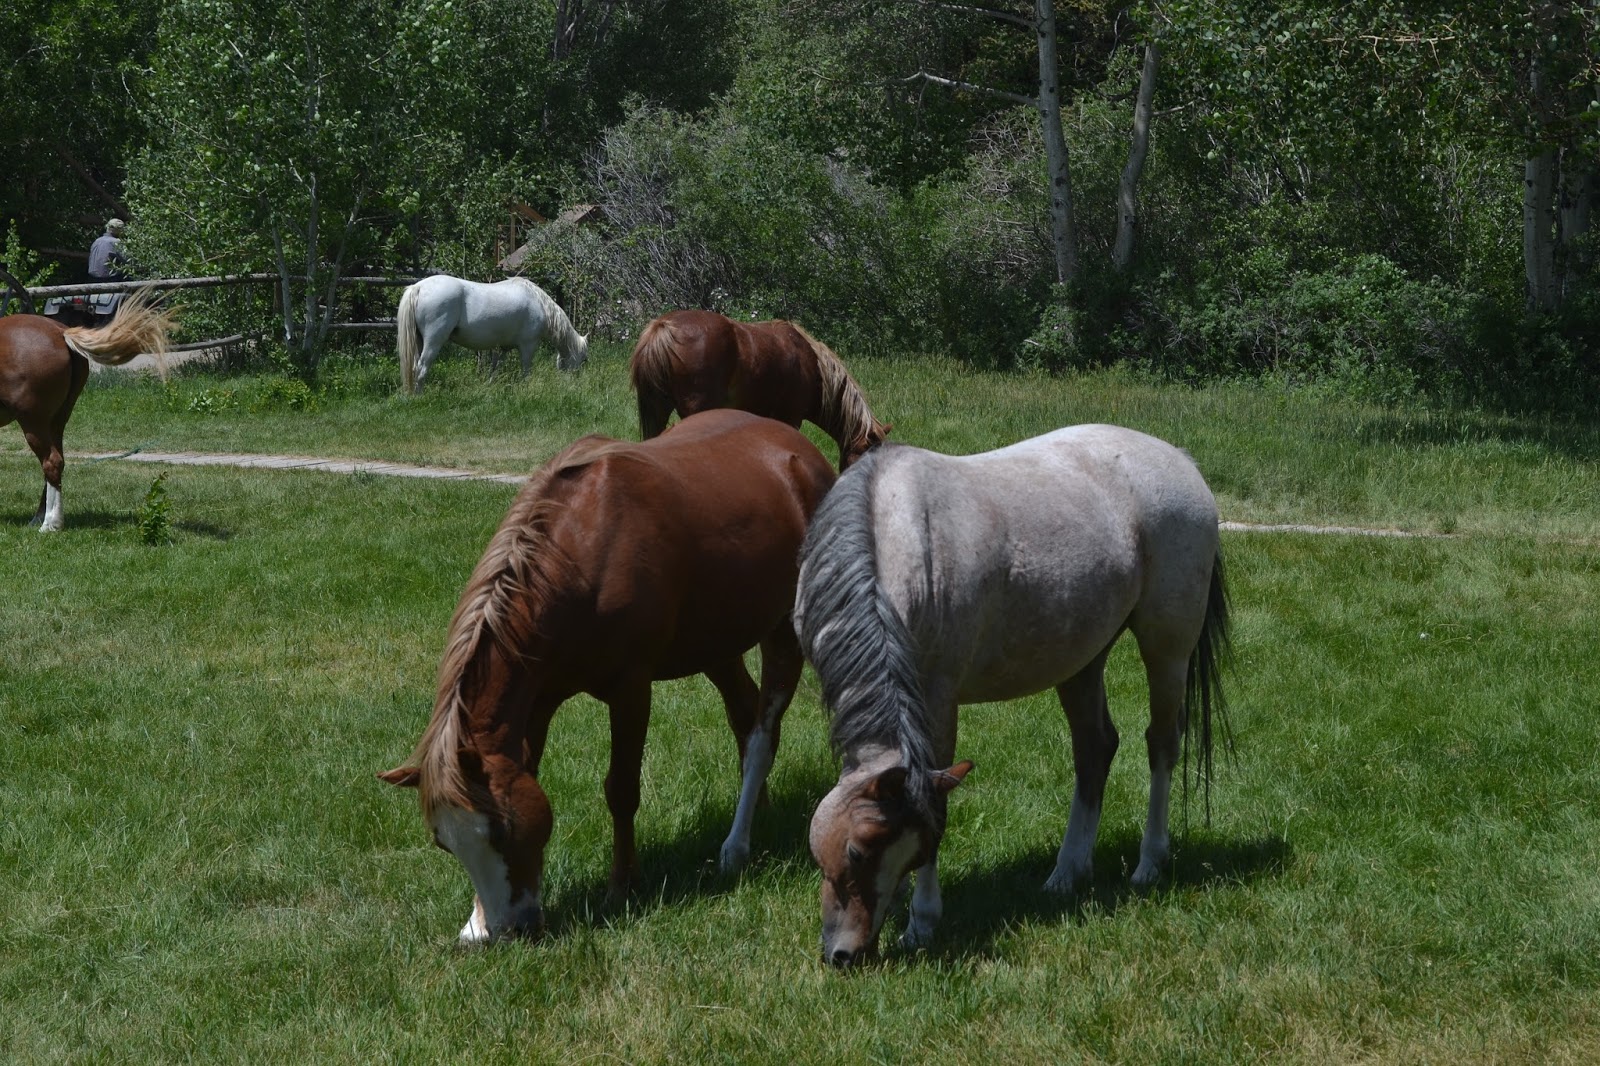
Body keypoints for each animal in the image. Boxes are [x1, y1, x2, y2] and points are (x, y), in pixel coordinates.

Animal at [1, 290, 172, 531]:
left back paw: (50, 524)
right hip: (56, 421)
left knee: (51, 461)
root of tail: (60, 332)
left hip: (33, 422)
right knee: (57, 463)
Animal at [379, 409, 836, 943]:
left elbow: (622, 789)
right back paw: (757, 808)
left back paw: (736, 846)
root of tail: (799, 453)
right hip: (716, 643)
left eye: (502, 830)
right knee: (745, 715)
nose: (506, 932)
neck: (580, 554)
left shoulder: (630, 689)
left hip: (785, 631)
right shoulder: (539, 700)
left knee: (764, 732)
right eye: (445, 843)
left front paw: (622, 885)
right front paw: (475, 919)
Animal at [396, 275, 588, 393]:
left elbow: (495, 369)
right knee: (421, 369)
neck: (539, 305)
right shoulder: (528, 345)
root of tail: (418, 287)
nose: (575, 384)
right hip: (433, 342)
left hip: (419, 341)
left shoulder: (503, 348)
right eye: (583, 359)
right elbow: (526, 370)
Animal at [795, 425, 1231, 967]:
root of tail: (1182, 462)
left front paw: (922, 922)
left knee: (1162, 746)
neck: (886, 533)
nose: (846, 953)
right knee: (1095, 748)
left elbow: (936, 798)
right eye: (857, 851)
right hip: (1083, 659)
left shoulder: (938, 699)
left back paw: (1149, 863)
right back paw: (1067, 873)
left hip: (1167, 650)